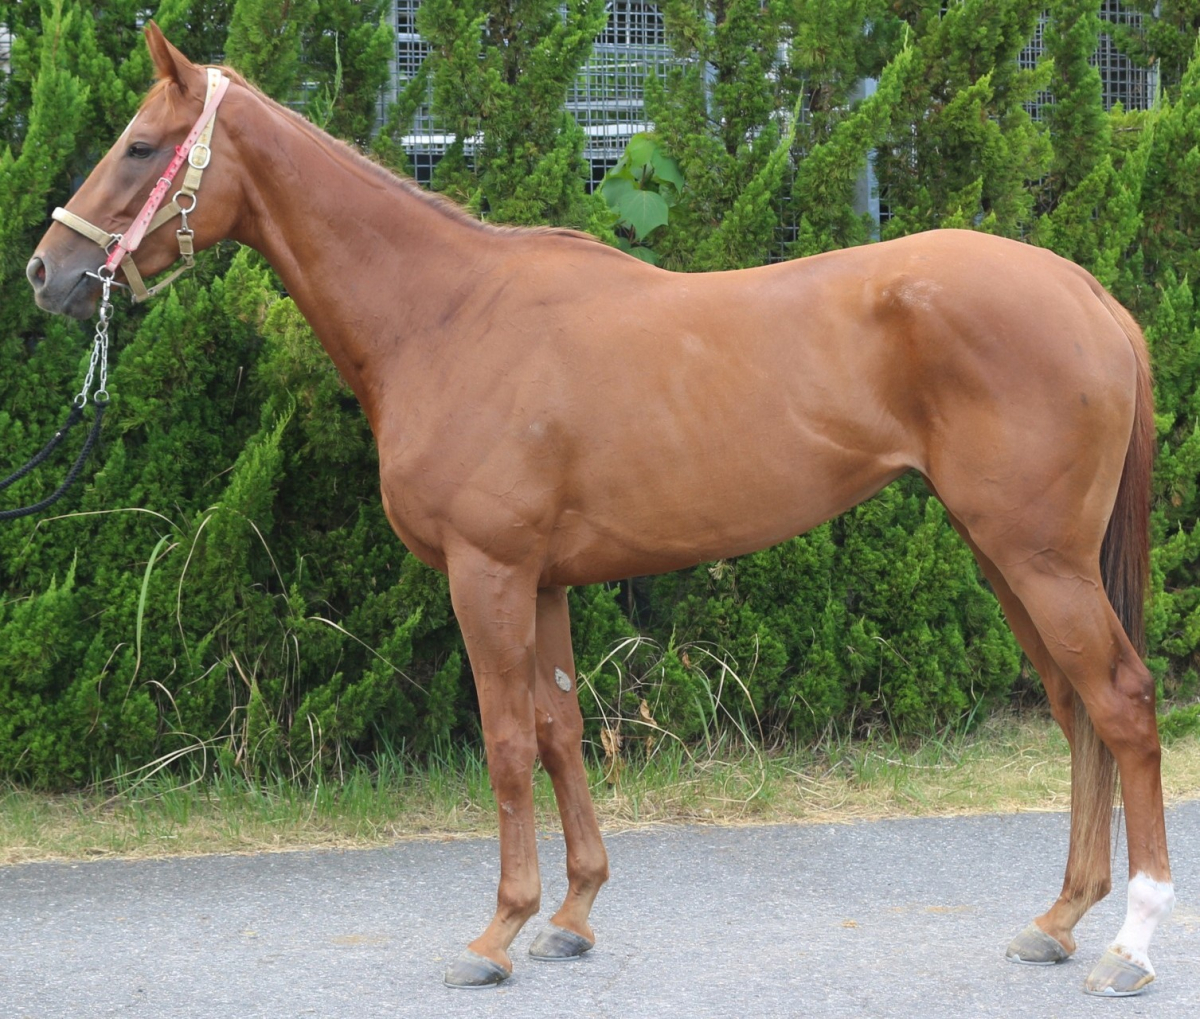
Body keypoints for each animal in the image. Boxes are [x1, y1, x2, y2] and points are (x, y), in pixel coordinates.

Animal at [28, 24, 1173, 996]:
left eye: (139, 146)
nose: (48, 270)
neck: (446, 314)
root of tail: (1087, 293)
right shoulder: (540, 583)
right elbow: (560, 727)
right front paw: (572, 916)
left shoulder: (485, 571)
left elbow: (502, 741)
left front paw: (497, 931)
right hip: (1004, 553)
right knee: (1075, 708)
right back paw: (1058, 920)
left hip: (1038, 555)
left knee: (1120, 700)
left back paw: (1130, 942)